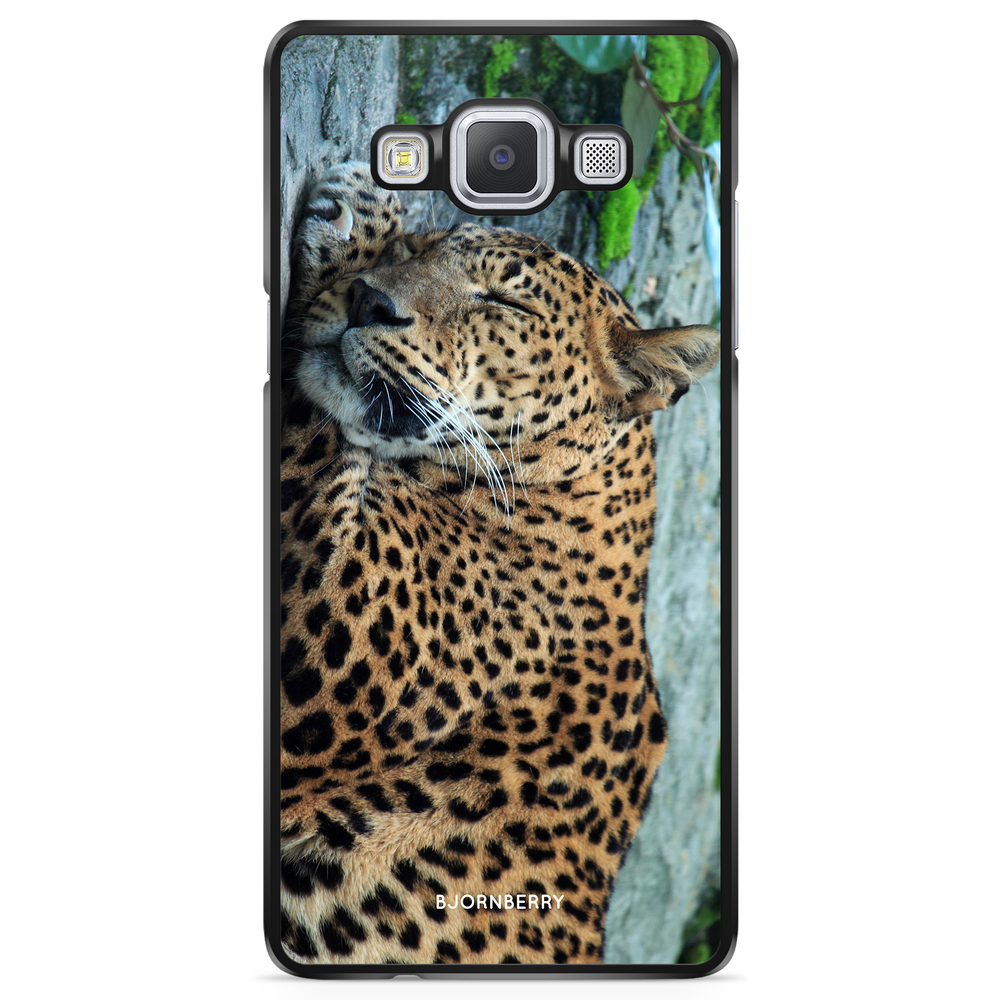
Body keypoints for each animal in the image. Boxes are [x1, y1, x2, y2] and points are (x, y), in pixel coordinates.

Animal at [277, 163, 720, 966]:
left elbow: (320, 429)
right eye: (424, 248)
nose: (369, 300)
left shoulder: (337, 622)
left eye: (503, 301)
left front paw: (356, 216)